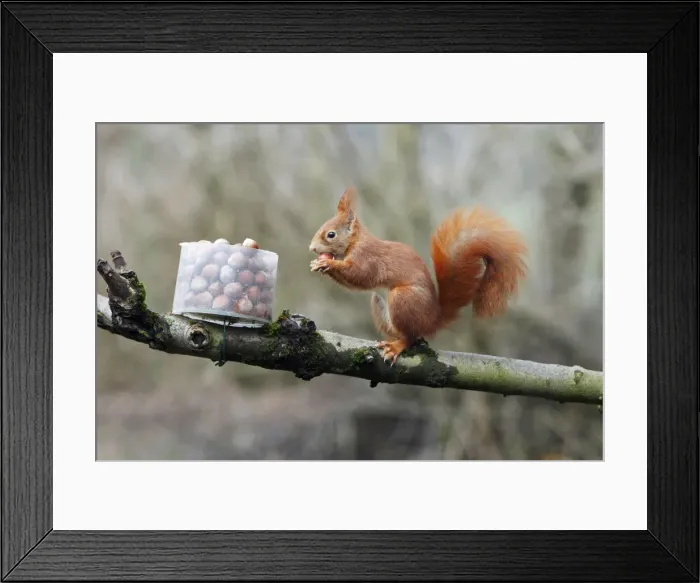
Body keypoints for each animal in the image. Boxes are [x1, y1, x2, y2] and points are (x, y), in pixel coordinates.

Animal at [309, 187, 528, 365]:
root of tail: (432, 319)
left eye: (330, 234)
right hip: (379, 303)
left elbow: (360, 275)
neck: (355, 242)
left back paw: (397, 346)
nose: (312, 248)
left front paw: (327, 263)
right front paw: (318, 264)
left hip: (403, 299)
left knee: (411, 337)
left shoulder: (367, 258)